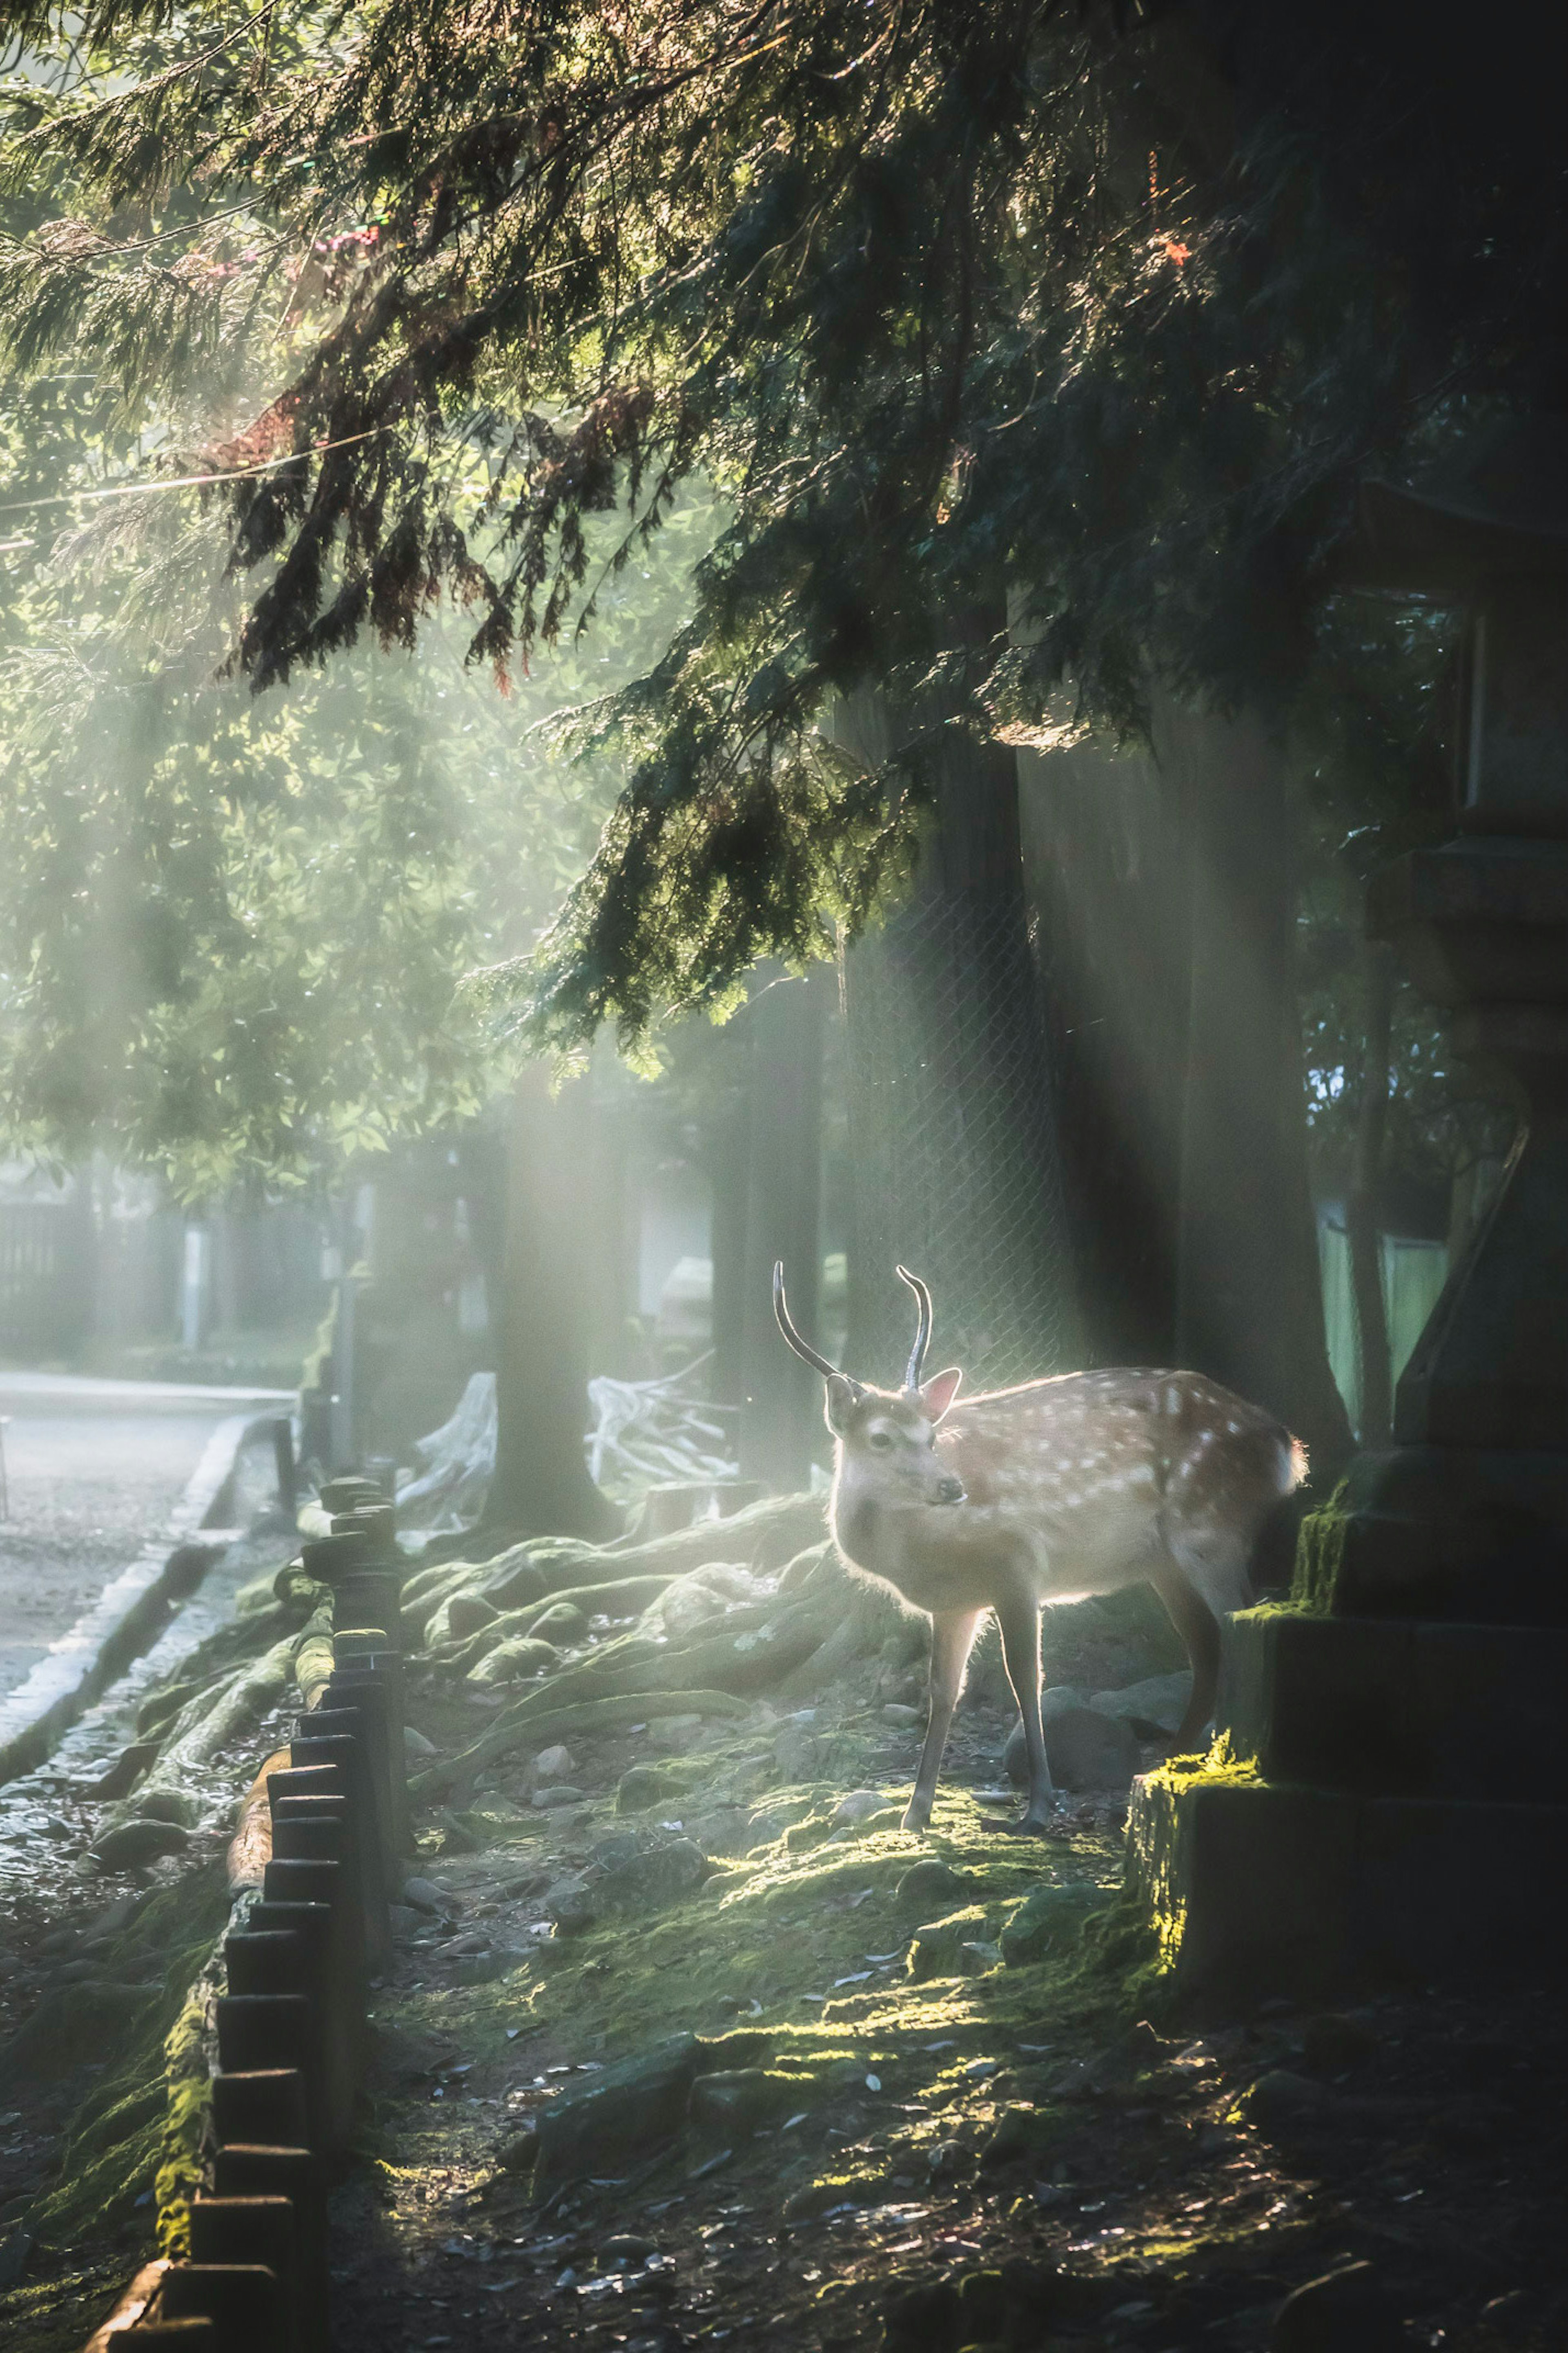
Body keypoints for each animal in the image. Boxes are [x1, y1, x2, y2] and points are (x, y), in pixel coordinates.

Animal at [775, 1270, 1316, 1835]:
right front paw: (915, 1814)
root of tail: (1287, 1449)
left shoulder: (1016, 1564)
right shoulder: (955, 1602)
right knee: (1208, 1646)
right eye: (880, 1438)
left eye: (931, 1436)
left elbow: (1026, 1679)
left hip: (1209, 1528)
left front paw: (1037, 1807)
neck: (914, 1556)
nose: (952, 1487)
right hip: (1166, 1560)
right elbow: (943, 1691)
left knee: (1241, 1626)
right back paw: (1164, 1767)